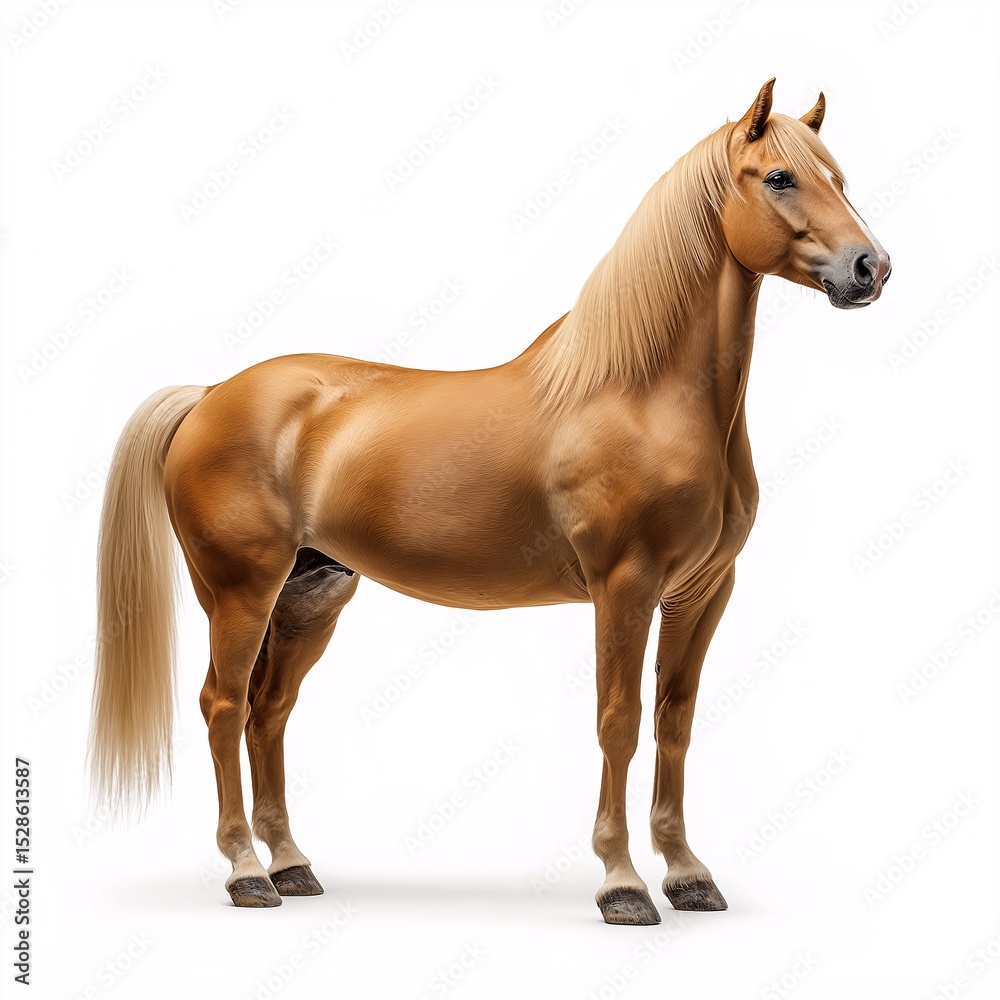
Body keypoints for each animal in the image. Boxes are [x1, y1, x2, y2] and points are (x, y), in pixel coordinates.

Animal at [90, 79, 890, 925]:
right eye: (779, 178)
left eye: (839, 178)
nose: (870, 268)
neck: (642, 394)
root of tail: (212, 393)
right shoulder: (626, 588)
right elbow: (619, 724)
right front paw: (623, 884)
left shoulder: (702, 592)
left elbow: (673, 724)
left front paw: (687, 875)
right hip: (240, 591)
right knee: (223, 706)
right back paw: (246, 871)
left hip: (312, 593)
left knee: (268, 712)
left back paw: (291, 866)